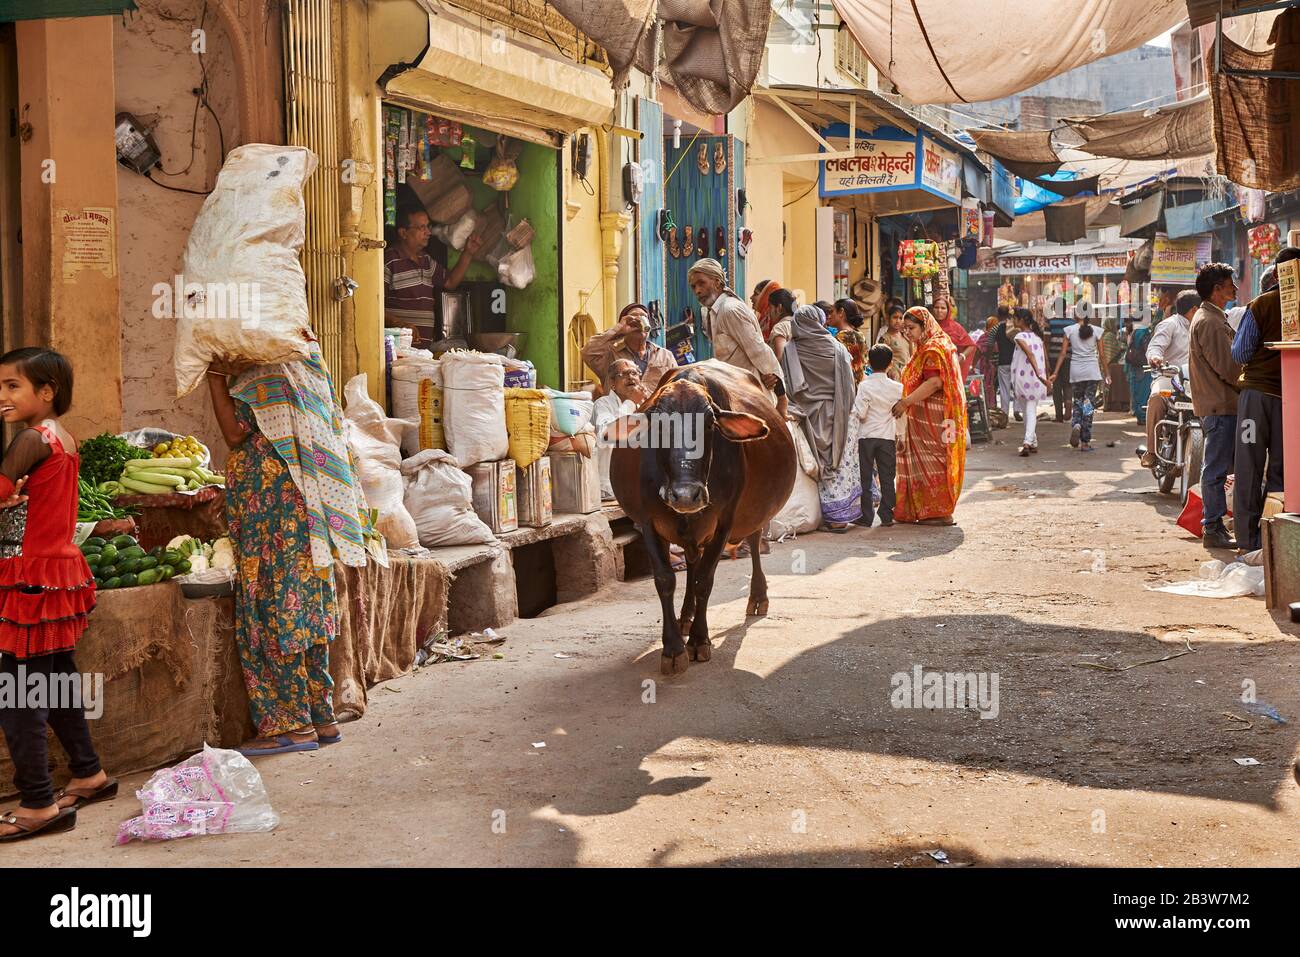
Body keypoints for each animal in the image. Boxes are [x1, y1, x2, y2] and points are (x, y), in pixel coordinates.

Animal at [605, 356, 790, 670]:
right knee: (692, 562)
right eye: (659, 426)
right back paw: (686, 616)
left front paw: (699, 641)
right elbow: (665, 579)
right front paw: (673, 648)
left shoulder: (724, 522)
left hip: (751, 515)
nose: (685, 495)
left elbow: (705, 580)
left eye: (709, 424)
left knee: (753, 543)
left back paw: (757, 597)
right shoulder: (648, 523)